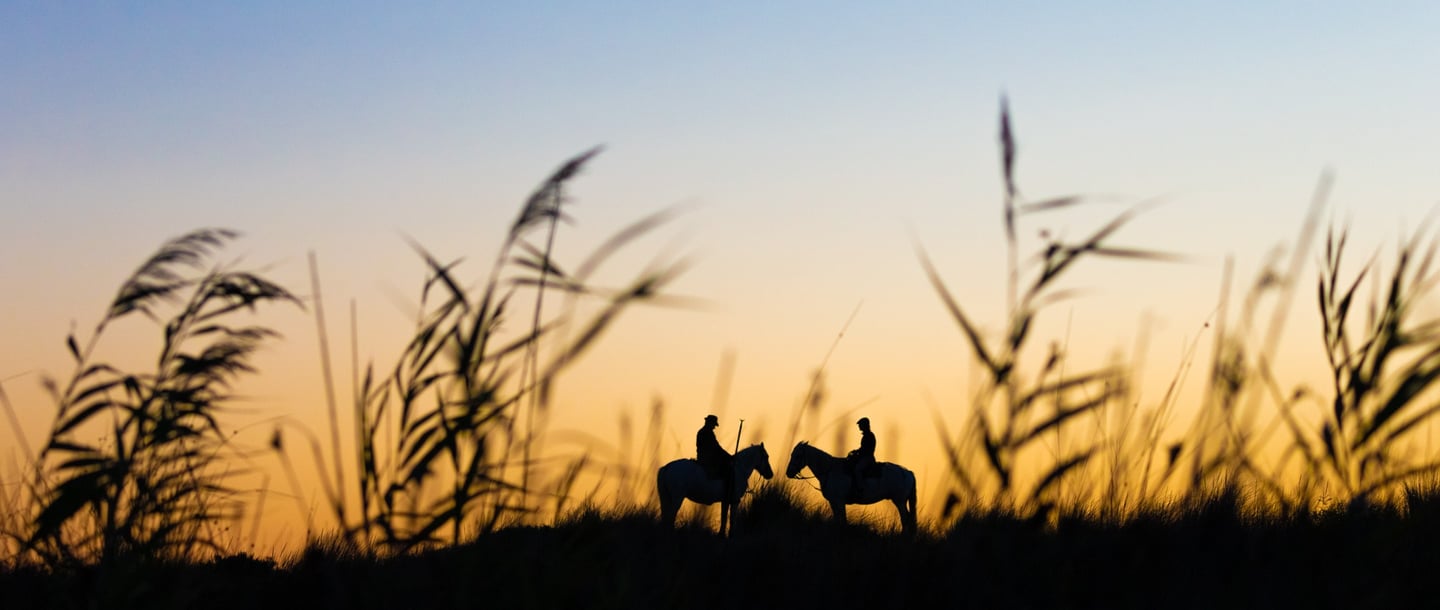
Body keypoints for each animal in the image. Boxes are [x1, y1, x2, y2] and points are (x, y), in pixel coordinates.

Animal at [785, 441, 917, 535]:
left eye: (798, 456)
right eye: (791, 454)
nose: (789, 473)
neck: (830, 470)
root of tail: (908, 472)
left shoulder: (840, 501)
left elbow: (843, 520)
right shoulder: (833, 502)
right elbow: (837, 520)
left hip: (899, 501)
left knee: (905, 519)